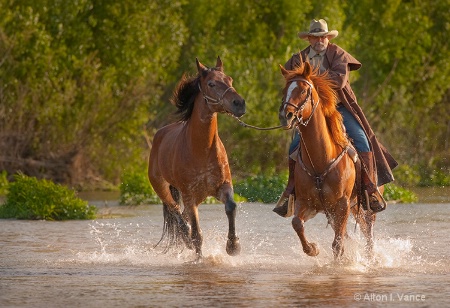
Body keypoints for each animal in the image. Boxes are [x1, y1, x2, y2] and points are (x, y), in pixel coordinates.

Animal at [149, 56, 246, 262]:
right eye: (211, 84)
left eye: (230, 79)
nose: (239, 103)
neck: (202, 151)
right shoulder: (189, 195)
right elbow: (197, 234)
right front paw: (199, 259)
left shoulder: (223, 186)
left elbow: (231, 207)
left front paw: (233, 246)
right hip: (163, 190)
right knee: (177, 215)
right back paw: (186, 240)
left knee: (182, 216)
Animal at [278, 61, 376, 258]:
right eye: (285, 90)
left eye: (303, 91)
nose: (286, 116)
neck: (320, 161)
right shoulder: (306, 203)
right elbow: (296, 223)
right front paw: (312, 249)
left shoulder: (342, 205)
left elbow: (337, 244)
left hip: (363, 207)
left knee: (368, 232)